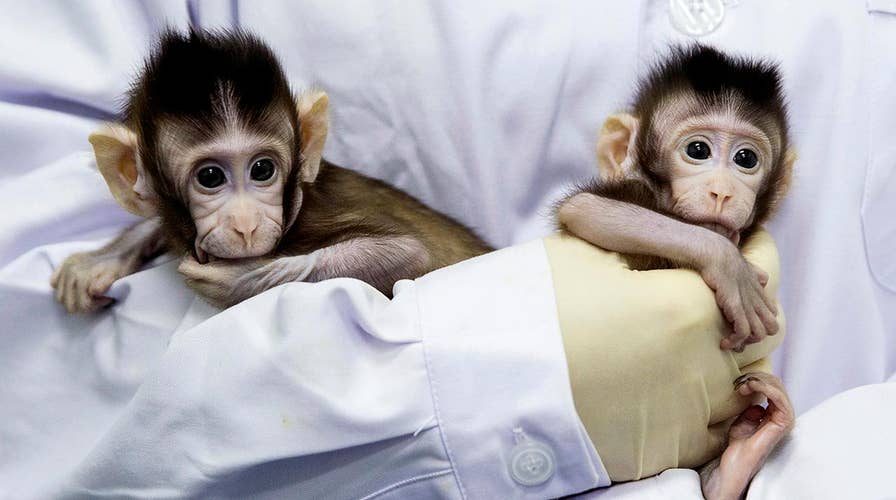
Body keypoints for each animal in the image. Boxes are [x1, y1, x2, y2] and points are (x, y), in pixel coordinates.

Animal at [51, 28, 492, 312]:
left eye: (262, 170)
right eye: (210, 177)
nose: (245, 225)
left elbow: (410, 252)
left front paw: (246, 278)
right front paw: (101, 259)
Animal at [554, 45, 796, 500]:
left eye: (746, 159)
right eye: (698, 150)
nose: (723, 191)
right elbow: (586, 209)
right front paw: (726, 263)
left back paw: (735, 465)